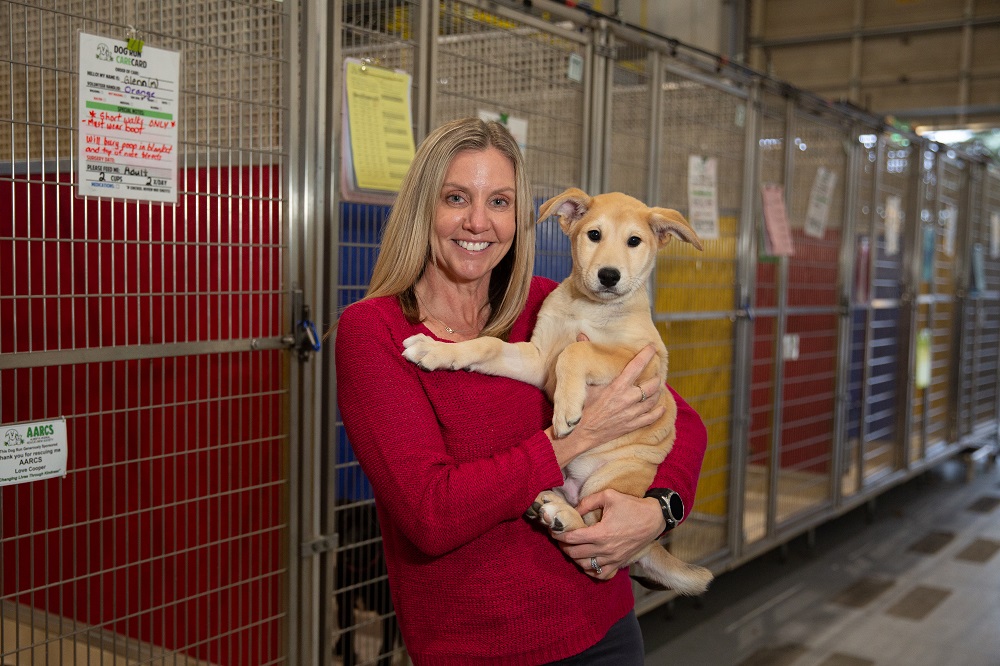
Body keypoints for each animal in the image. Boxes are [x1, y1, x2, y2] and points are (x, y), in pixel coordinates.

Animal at [404, 185, 712, 592]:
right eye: (594, 234)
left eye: (634, 241)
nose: (609, 276)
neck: (590, 308)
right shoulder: (538, 360)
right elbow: (488, 345)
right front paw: (436, 349)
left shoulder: (645, 363)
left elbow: (578, 349)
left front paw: (566, 410)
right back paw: (551, 505)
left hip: (614, 478)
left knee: (596, 532)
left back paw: (563, 515)